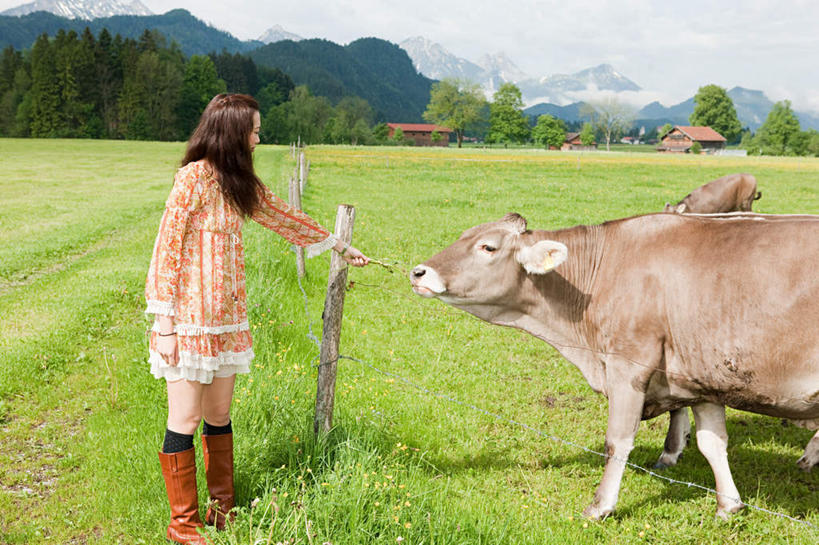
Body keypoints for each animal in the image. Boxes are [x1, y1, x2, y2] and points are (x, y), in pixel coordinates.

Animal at [414, 211, 819, 520]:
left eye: (488, 246)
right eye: (464, 235)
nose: (419, 272)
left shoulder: (628, 367)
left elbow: (617, 442)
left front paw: (600, 506)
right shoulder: (701, 378)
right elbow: (713, 443)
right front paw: (728, 505)